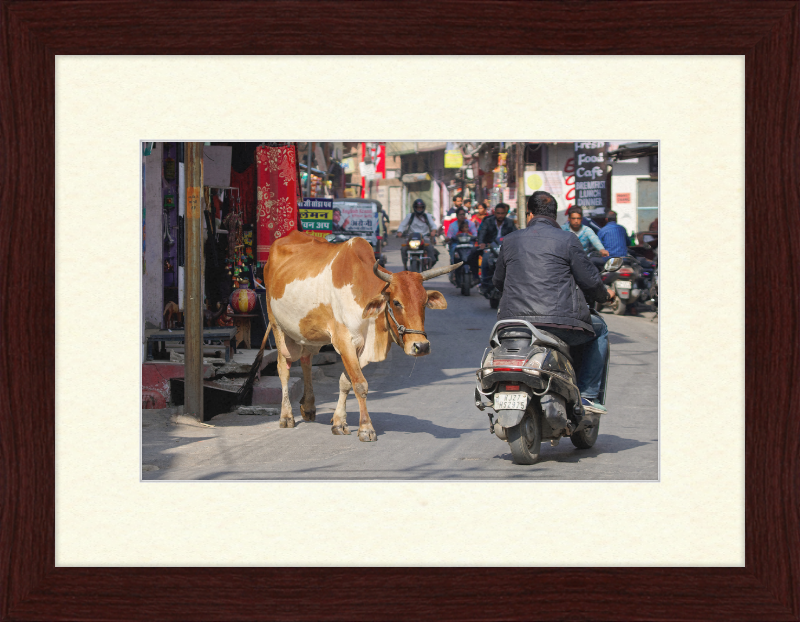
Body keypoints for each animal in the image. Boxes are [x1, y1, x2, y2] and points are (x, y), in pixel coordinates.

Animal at [266, 232, 460, 442]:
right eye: (397, 302)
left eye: (424, 303)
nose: (421, 346)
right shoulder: (344, 342)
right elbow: (360, 384)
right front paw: (366, 428)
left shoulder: (360, 347)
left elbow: (345, 382)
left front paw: (339, 422)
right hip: (278, 326)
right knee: (283, 368)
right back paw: (286, 416)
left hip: (306, 333)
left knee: (306, 361)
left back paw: (308, 406)